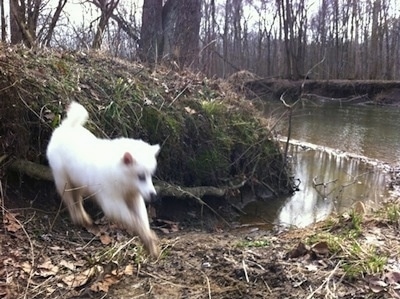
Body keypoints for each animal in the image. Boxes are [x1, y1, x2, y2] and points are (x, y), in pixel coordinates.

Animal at [46, 101, 159, 258]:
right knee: (69, 199)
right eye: (141, 176)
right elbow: (132, 219)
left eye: (150, 175)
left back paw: (83, 217)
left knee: (77, 199)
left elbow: (142, 219)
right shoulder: (111, 203)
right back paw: (78, 217)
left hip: (79, 182)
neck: (123, 178)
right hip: (63, 178)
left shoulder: (135, 197)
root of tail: (66, 126)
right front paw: (146, 237)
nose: (154, 196)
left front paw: (149, 241)